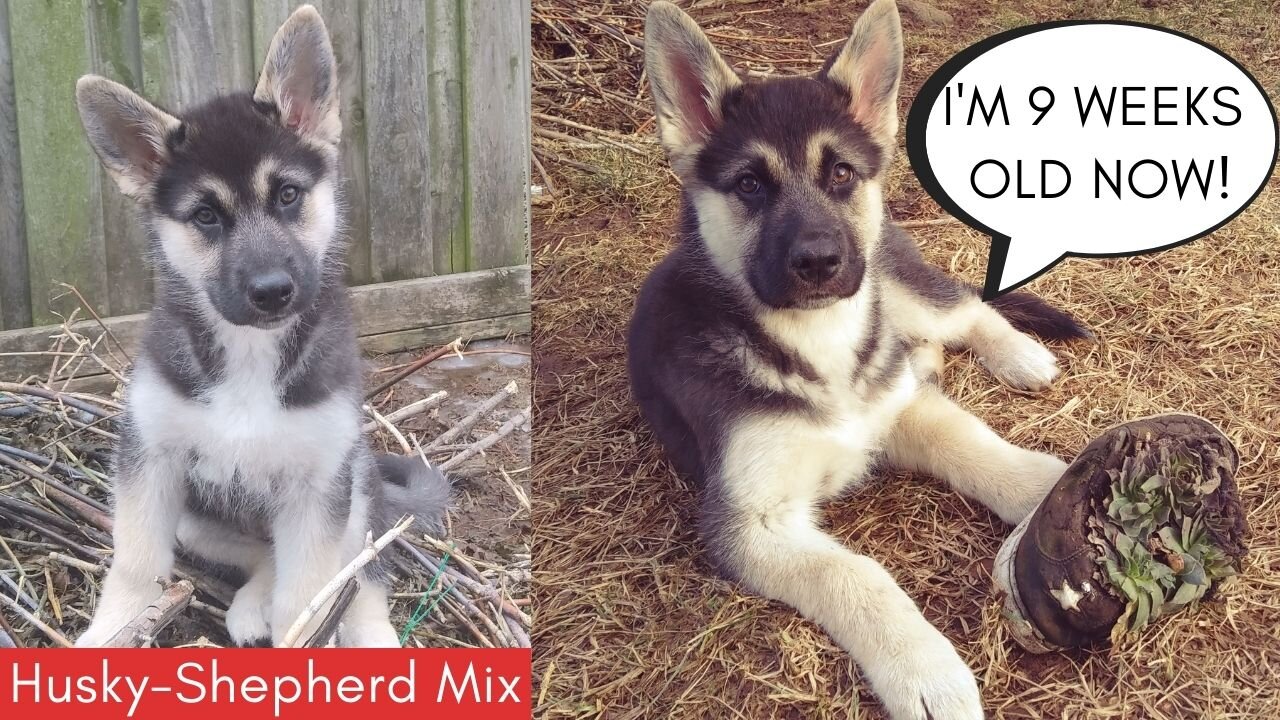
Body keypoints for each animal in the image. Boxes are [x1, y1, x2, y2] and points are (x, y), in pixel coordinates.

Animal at [72, 5, 450, 645]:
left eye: (288, 195)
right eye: (205, 216)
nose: (272, 292)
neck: (249, 353)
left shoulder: (317, 489)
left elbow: (309, 598)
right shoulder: (150, 462)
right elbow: (136, 564)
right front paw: (110, 632)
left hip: (356, 492)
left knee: (360, 578)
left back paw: (367, 633)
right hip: (196, 517)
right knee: (262, 555)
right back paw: (252, 603)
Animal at [629, 2, 1090, 712]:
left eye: (841, 173)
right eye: (750, 184)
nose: (819, 262)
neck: (814, 342)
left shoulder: (897, 409)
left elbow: (973, 443)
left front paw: (1054, 487)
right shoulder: (750, 524)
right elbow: (857, 576)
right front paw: (925, 671)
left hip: (892, 285)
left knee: (966, 309)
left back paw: (1018, 355)